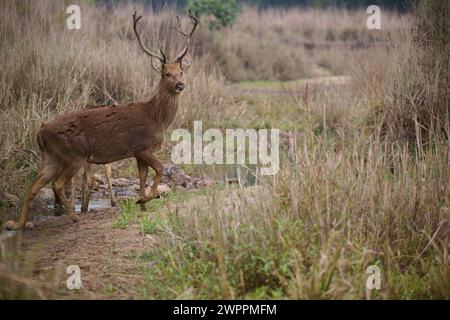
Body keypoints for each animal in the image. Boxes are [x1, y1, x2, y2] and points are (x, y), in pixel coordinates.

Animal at [15, 10, 199, 230]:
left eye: (181, 72)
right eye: (166, 74)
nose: (180, 84)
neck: (156, 117)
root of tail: (40, 132)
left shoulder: (138, 152)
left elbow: (142, 177)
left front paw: (143, 205)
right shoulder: (143, 147)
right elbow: (160, 169)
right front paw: (145, 199)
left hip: (51, 156)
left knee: (33, 186)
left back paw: (19, 223)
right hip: (73, 154)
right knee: (57, 184)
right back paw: (75, 217)